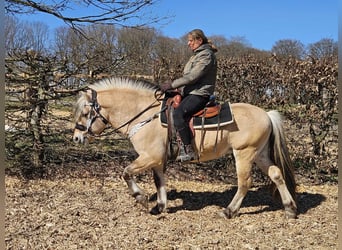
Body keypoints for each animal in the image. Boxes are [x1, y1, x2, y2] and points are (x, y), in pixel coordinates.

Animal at [72, 77, 296, 219]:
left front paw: (141, 197)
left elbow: (126, 172)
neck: (144, 115)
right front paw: (160, 206)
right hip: (259, 154)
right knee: (276, 174)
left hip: (244, 154)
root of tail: (266, 114)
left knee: (244, 183)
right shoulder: (157, 160)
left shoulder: (149, 156)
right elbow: (159, 181)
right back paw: (290, 209)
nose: (76, 137)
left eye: (85, 113)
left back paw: (229, 211)